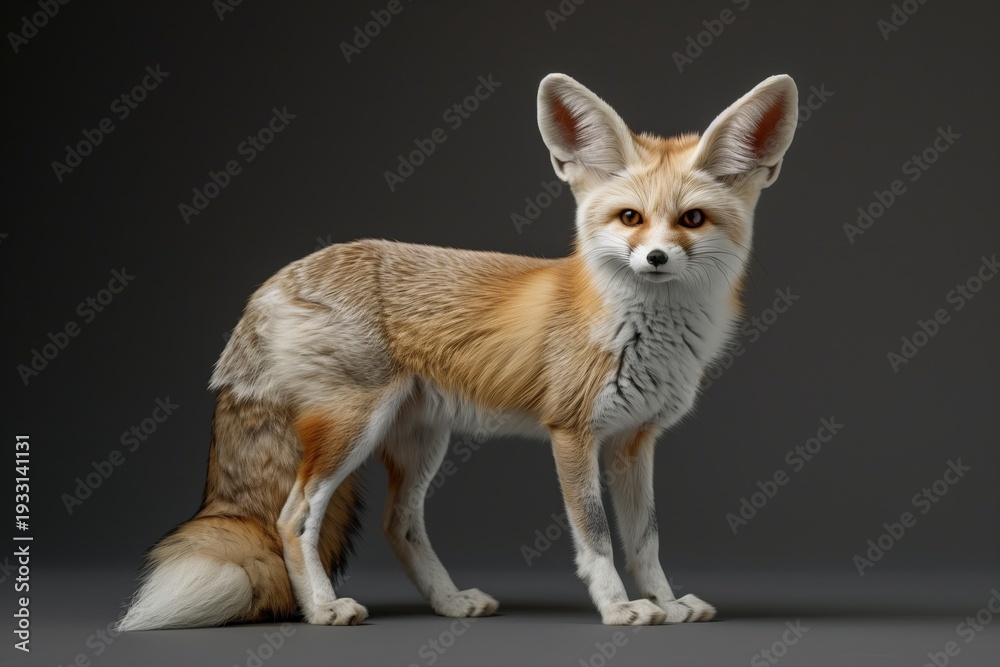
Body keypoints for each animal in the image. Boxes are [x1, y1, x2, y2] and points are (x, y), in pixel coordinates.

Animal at [117, 72, 798, 630]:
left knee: (398, 525)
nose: (654, 258)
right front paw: (619, 608)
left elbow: (646, 541)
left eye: (691, 220)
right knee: (293, 518)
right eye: (630, 218)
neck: (638, 333)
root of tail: (273, 284)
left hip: (421, 440)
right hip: (350, 429)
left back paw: (447, 602)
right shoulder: (572, 434)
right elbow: (599, 539)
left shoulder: (635, 442)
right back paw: (321, 609)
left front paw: (667, 601)